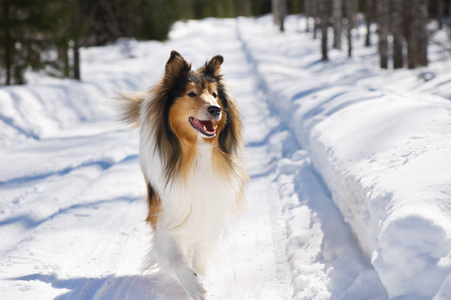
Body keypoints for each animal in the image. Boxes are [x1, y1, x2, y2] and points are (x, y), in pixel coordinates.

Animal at [118, 50, 249, 298]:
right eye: (191, 94)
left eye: (215, 95)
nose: (215, 109)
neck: (195, 152)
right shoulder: (168, 214)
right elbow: (176, 259)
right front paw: (195, 286)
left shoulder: (208, 213)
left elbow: (200, 256)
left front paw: (200, 277)